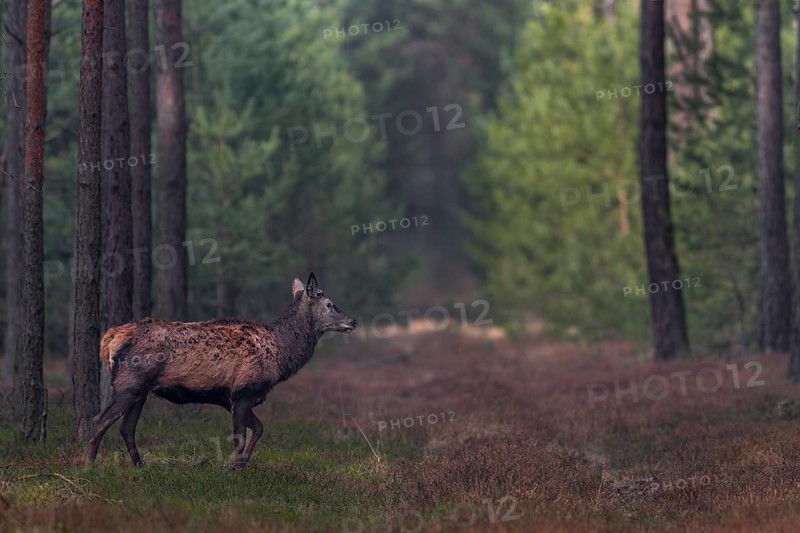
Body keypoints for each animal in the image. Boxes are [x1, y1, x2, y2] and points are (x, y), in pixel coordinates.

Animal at [86, 273, 357, 469]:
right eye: (330, 304)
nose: (353, 321)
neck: (281, 353)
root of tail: (110, 338)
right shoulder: (243, 392)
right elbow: (241, 436)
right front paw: (235, 469)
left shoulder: (234, 399)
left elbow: (258, 428)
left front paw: (243, 465)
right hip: (129, 384)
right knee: (99, 420)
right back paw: (90, 466)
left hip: (140, 390)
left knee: (126, 427)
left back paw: (141, 466)